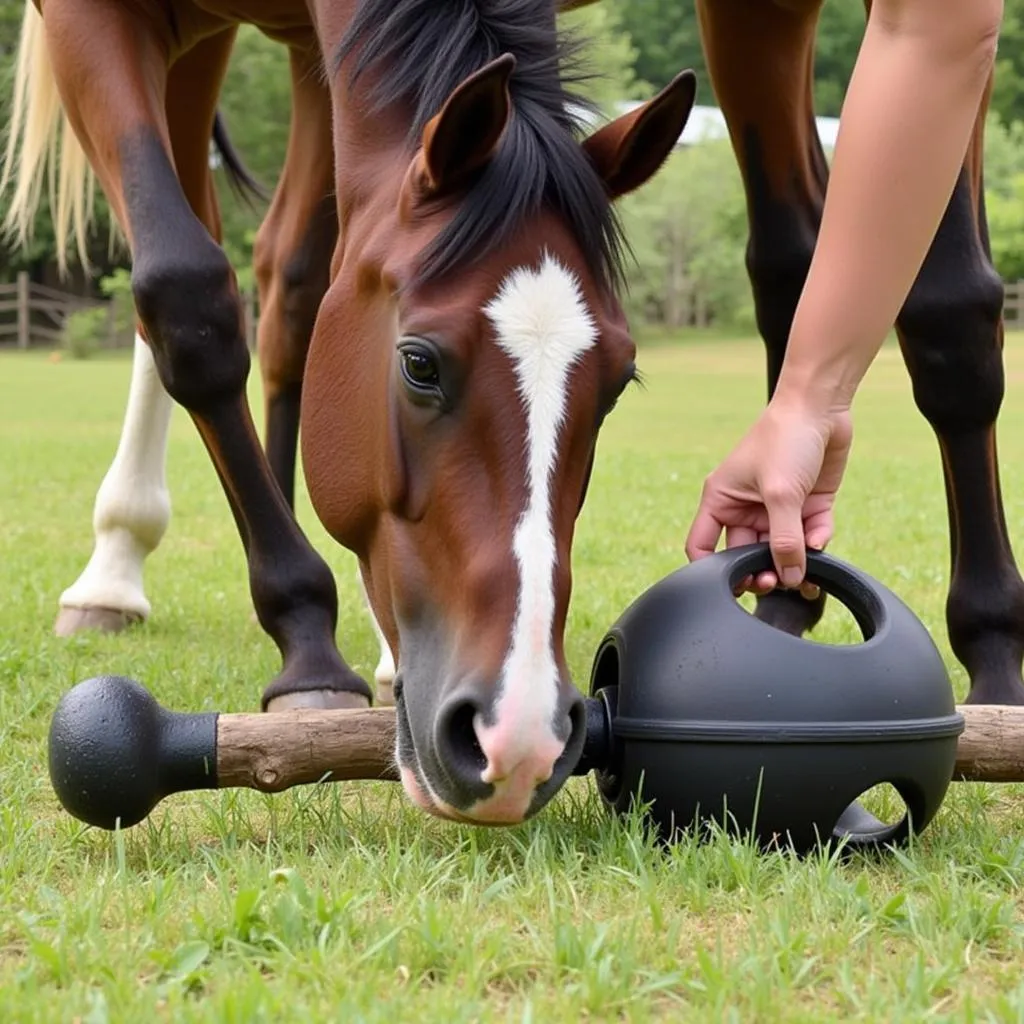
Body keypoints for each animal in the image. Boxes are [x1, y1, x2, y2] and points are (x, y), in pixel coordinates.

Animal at [0, 0, 696, 823]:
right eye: (419, 364)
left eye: (617, 383)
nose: (518, 739)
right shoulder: (87, 20)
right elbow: (181, 291)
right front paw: (306, 645)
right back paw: (116, 568)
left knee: (291, 284)